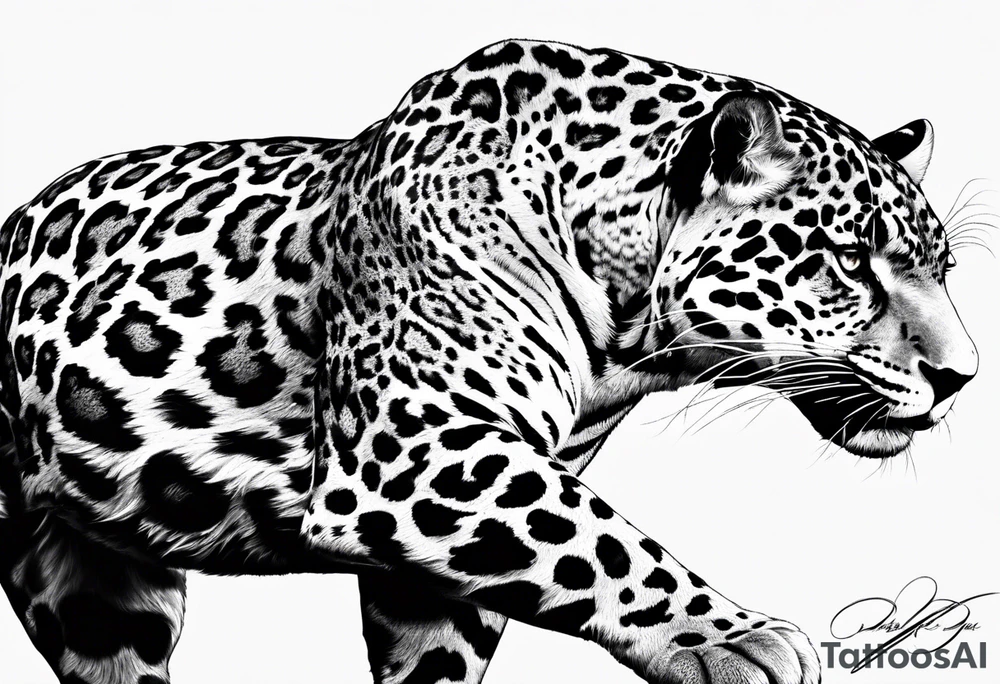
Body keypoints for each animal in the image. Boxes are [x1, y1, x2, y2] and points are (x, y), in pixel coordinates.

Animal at [0, 39, 978, 684]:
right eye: (849, 259)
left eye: (943, 269)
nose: (961, 377)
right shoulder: (415, 454)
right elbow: (606, 542)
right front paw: (729, 639)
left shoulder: (442, 555)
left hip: (103, 600)